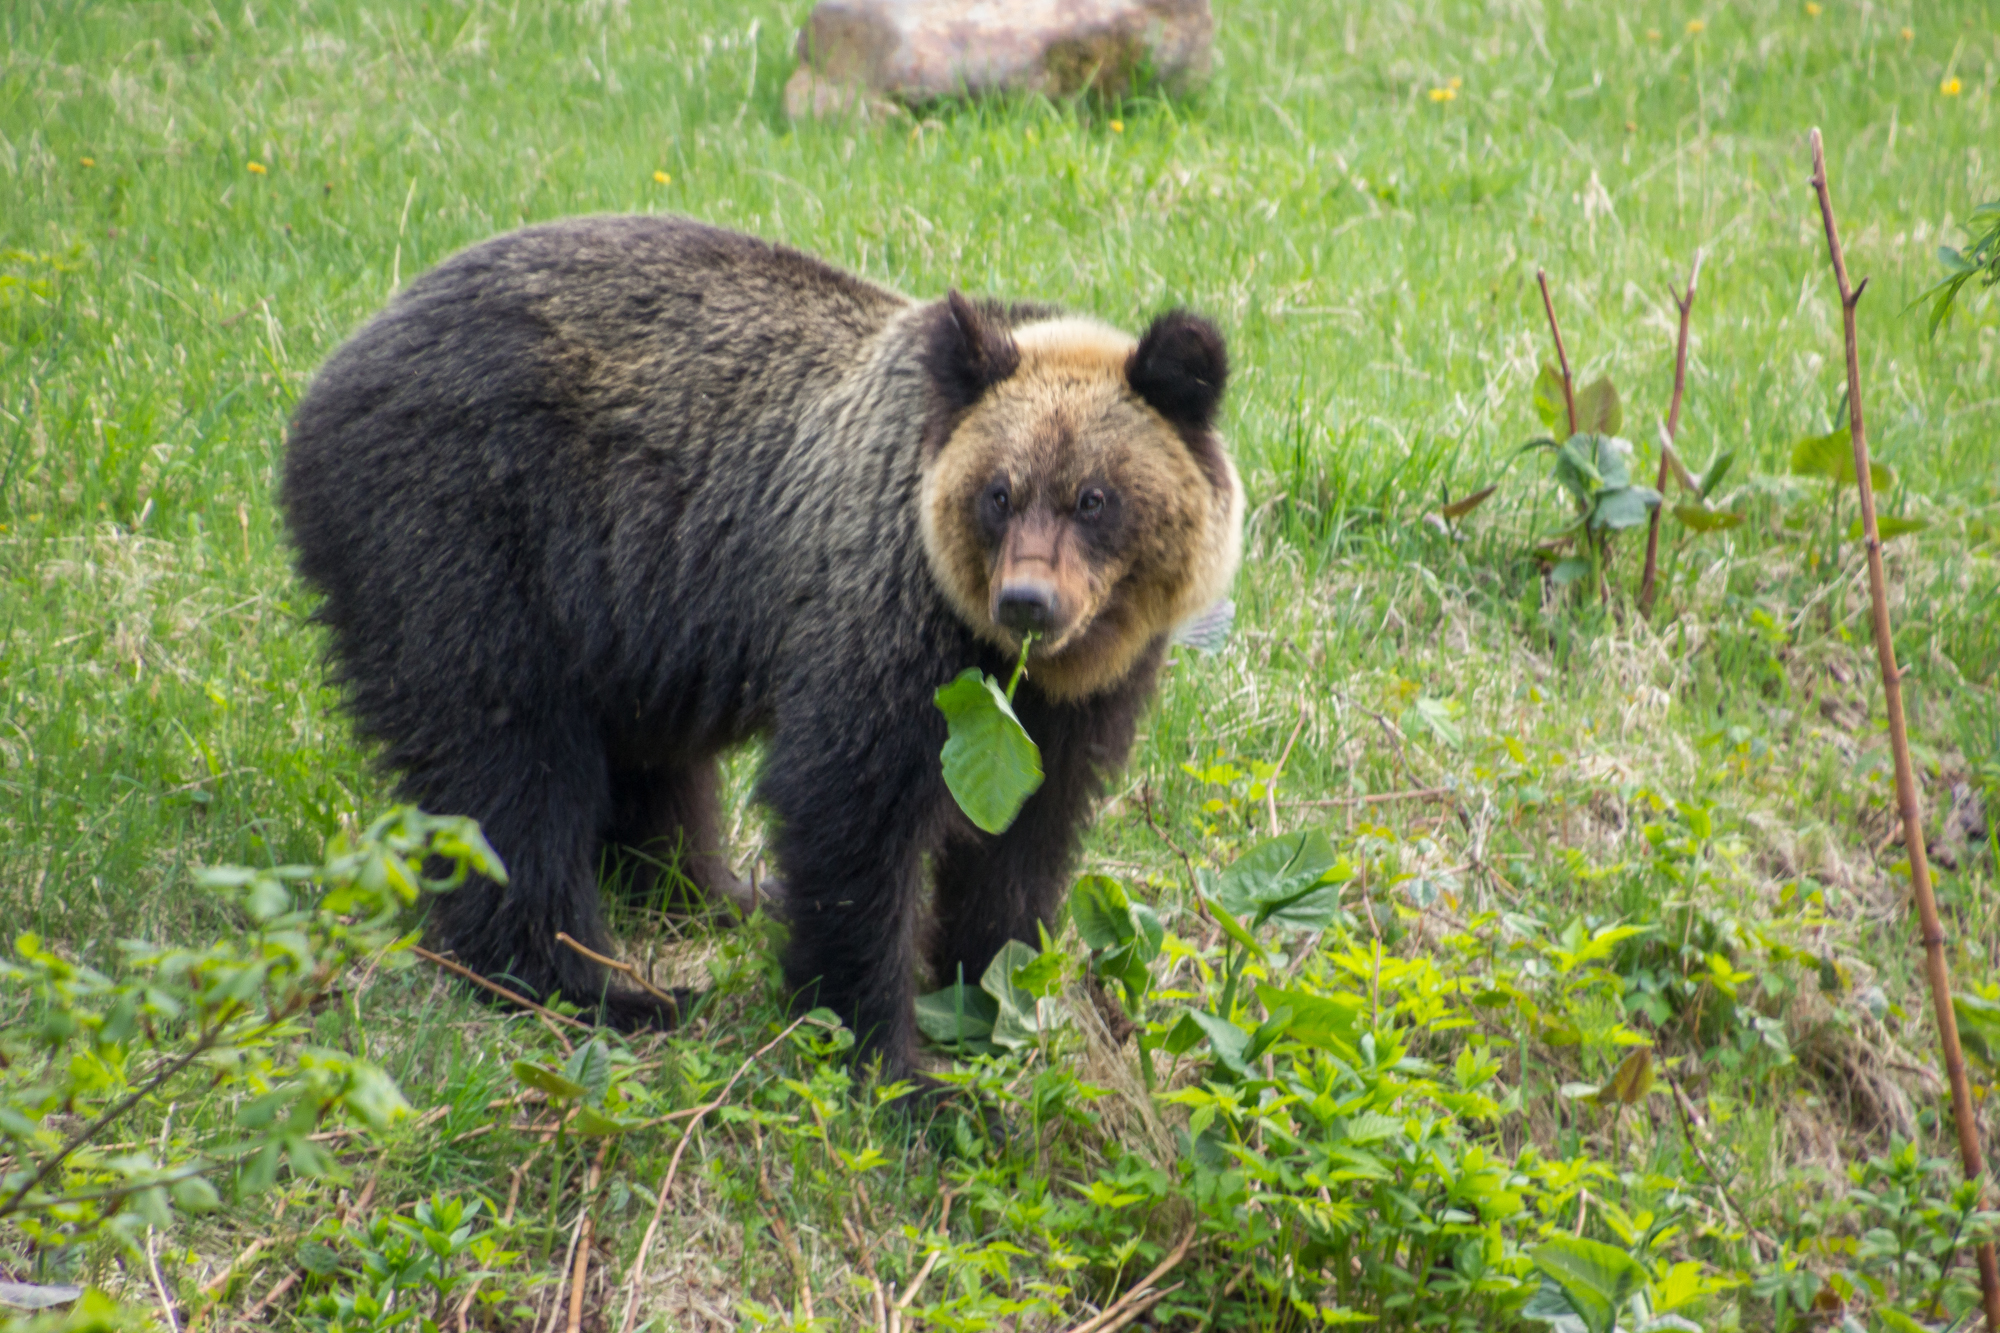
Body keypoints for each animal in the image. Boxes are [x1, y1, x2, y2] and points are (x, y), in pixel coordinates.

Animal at [284, 210, 1240, 1080]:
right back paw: (600, 984)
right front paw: (892, 1060)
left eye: (1094, 497)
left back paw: (715, 892)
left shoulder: (1078, 697)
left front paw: (991, 993)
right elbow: (849, 808)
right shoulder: (886, 612)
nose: (1027, 601)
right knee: (506, 761)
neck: (1014, 662)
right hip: (470, 534)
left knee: (646, 766)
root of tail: (334, 369)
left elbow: (1023, 835)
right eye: (998, 493)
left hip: (626, 609)